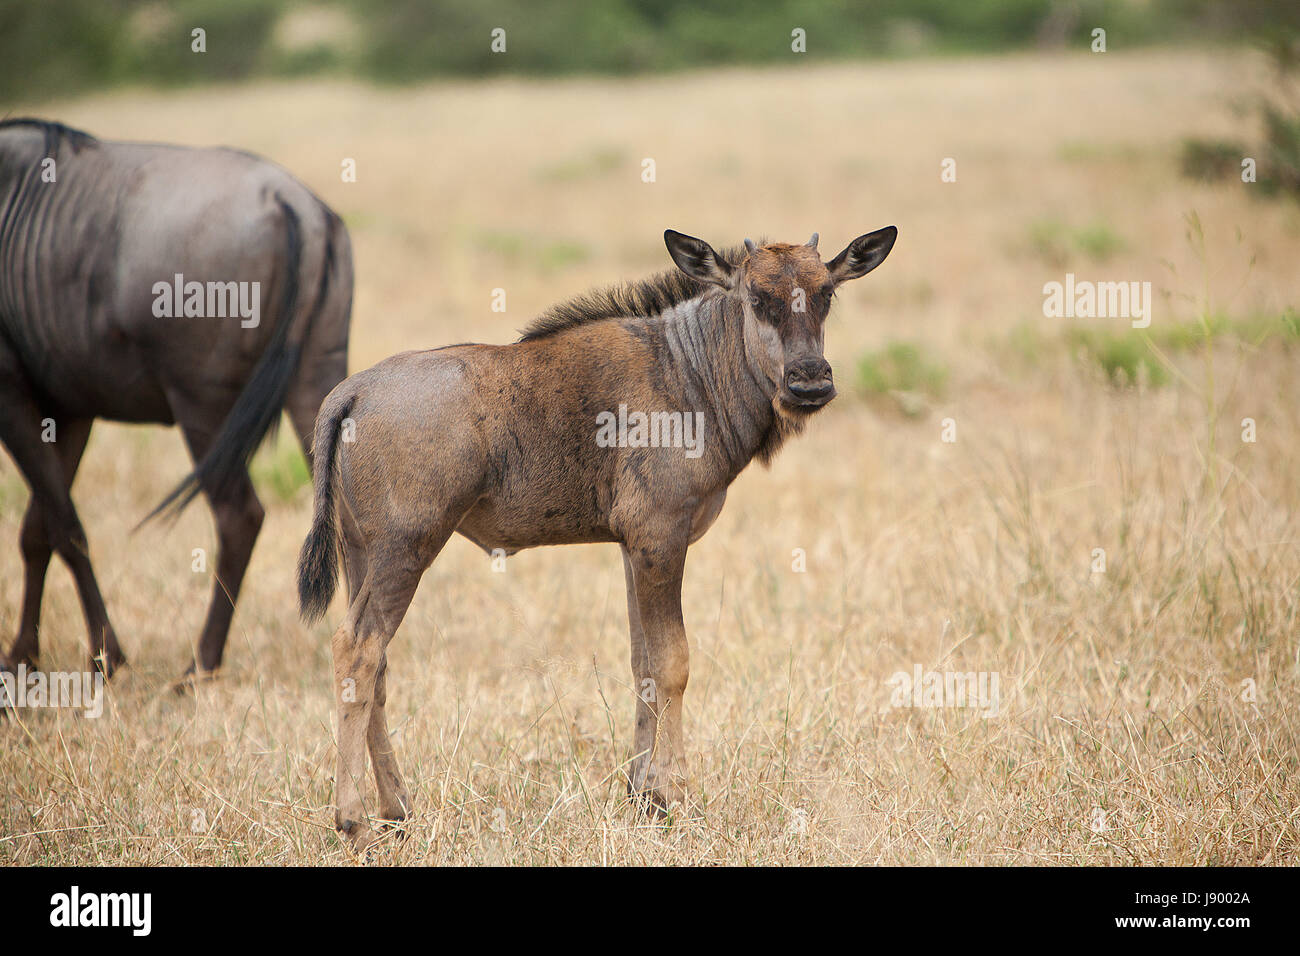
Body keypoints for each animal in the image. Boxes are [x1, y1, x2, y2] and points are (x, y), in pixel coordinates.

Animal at [299, 226, 899, 853]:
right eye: (757, 298)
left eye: (826, 293)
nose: (810, 381)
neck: (690, 373)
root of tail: (354, 391)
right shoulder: (662, 537)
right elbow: (674, 662)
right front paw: (678, 796)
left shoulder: (634, 548)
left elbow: (642, 663)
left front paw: (644, 796)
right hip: (405, 551)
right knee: (358, 650)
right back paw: (352, 819)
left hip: (362, 556)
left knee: (375, 669)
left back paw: (397, 810)